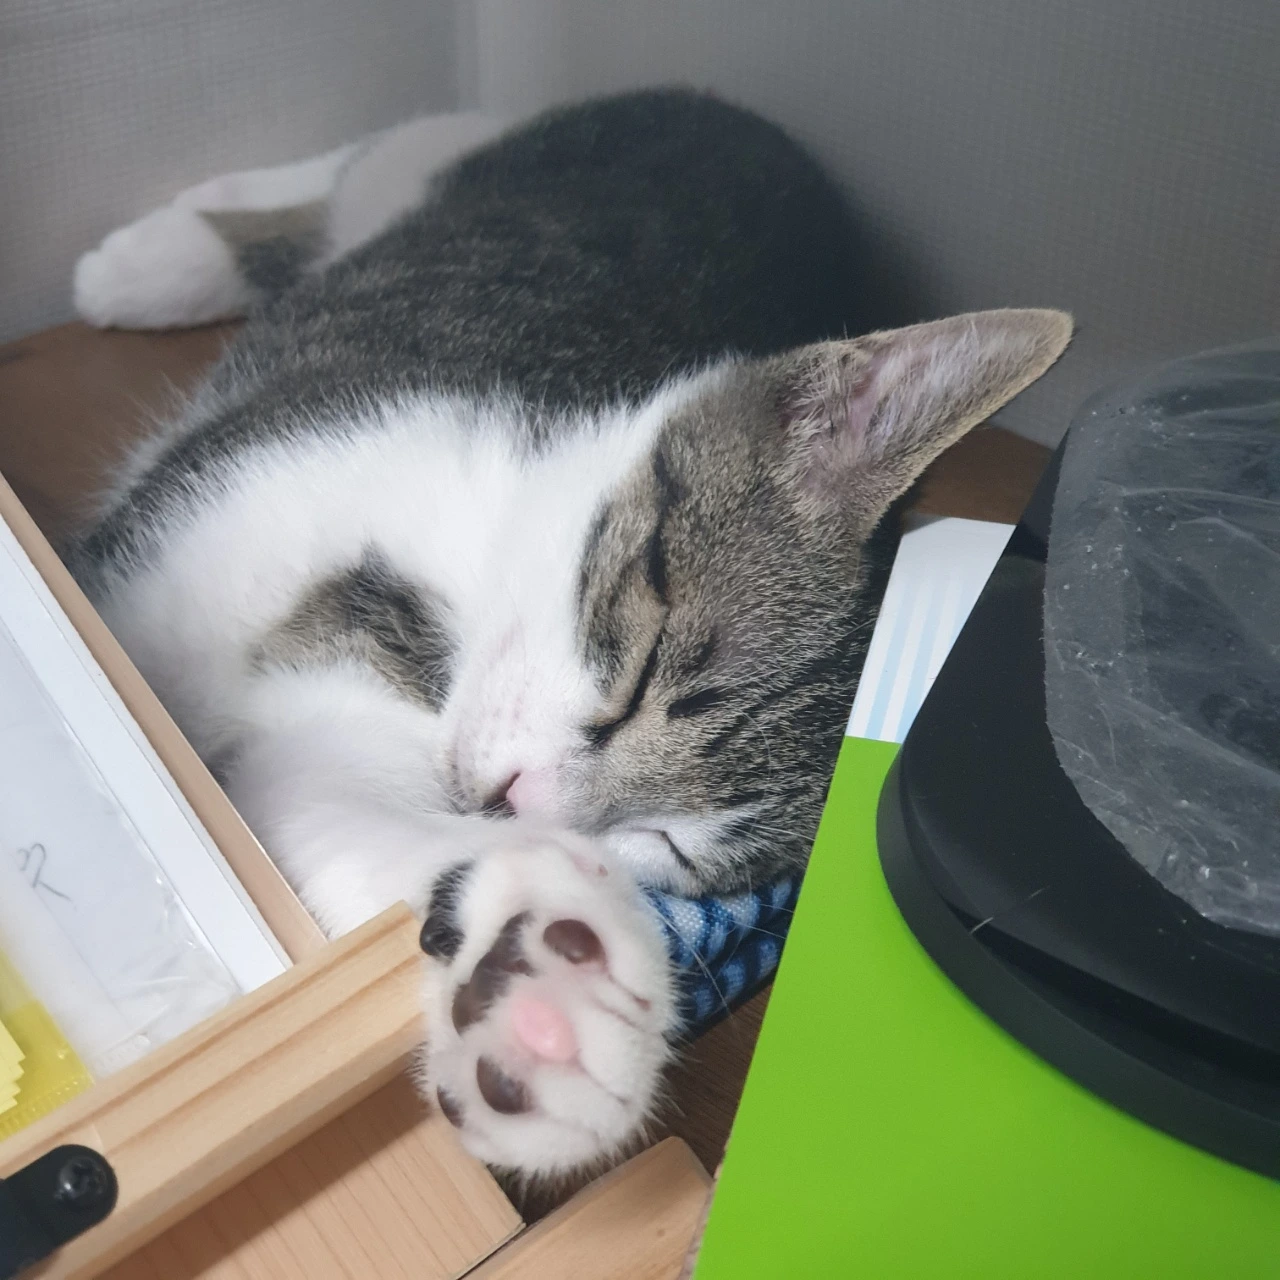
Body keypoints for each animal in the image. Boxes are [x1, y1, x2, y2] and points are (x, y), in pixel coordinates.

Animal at [69, 89, 1071, 1176]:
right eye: (638, 676)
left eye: (670, 846)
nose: (514, 802)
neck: (450, 603)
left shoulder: (330, 728)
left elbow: (321, 811)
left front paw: (551, 993)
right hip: (451, 169)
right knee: (366, 159)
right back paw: (156, 250)